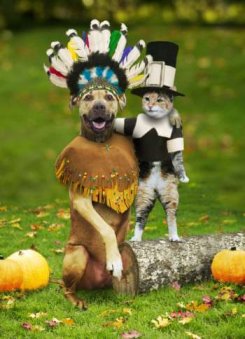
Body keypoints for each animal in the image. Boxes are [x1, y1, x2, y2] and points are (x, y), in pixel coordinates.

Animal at [56, 89, 138, 310]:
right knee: (67, 289)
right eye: (88, 98)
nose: (99, 106)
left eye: (109, 97)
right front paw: (114, 259)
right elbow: (107, 229)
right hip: (78, 253)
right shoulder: (81, 196)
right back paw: (76, 301)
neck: (102, 144)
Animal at [114, 91, 189, 242]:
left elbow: (178, 157)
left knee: (171, 215)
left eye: (159, 100)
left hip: (169, 193)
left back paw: (174, 237)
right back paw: (136, 239)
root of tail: (156, 186)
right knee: (141, 217)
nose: (149, 105)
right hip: (144, 195)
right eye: (147, 98)